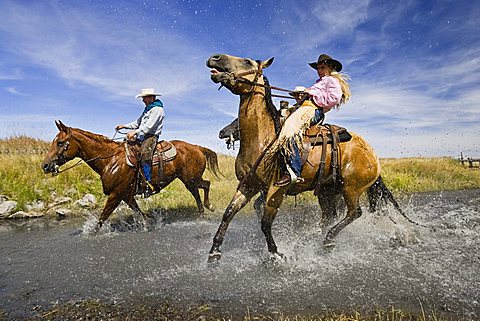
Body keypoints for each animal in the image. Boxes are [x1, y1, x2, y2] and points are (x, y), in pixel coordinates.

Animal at [42, 120, 220, 230]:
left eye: (60, 143)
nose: (45, 165)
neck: (110, 160)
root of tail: (197, 147)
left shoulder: (115, 194)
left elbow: (102, 218)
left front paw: (92, 233)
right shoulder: (126, 195)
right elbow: (139, 213)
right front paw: (148, 224)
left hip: (190, 179)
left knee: (204, 186)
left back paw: (207, 208)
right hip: (188, 179)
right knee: (200, 189)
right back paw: (203, 211)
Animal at [206, 53, 382, 262]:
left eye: (248, 62)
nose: (215, 58)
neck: (263, 140)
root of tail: (373, 155)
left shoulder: (275, 190)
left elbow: (265, 222)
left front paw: (276, 253)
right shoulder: (248, 185)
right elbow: (229, 212)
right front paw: (214, 251)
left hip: (351, 188)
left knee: (355, 212)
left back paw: (328, 240)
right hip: (328, 191)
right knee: (329, 216)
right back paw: (316, 238)